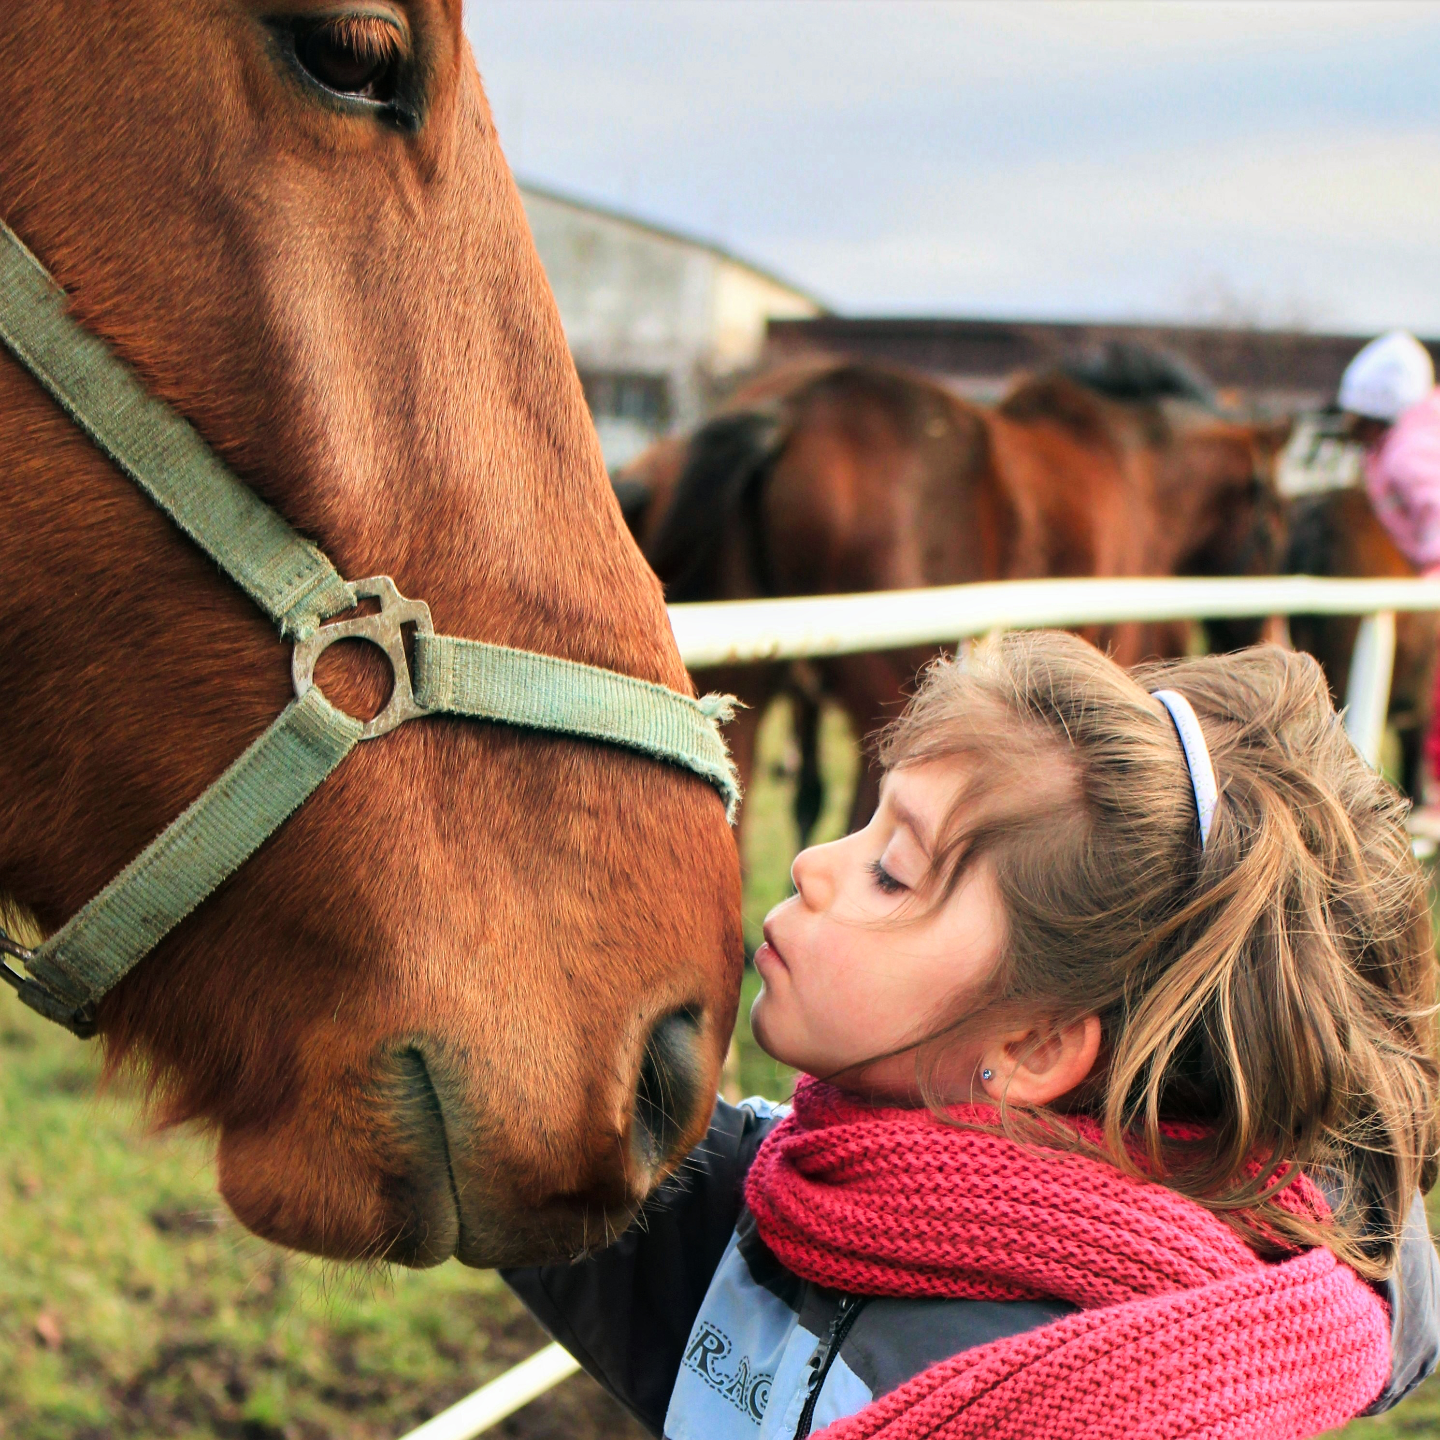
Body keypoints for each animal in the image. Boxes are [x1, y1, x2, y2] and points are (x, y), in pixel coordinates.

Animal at [626, 358, 1287, 841]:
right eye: (1273, 525)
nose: (1276, 641)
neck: (1136, 470)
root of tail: (787, 410)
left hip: (754, 688)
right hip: (886, 698)